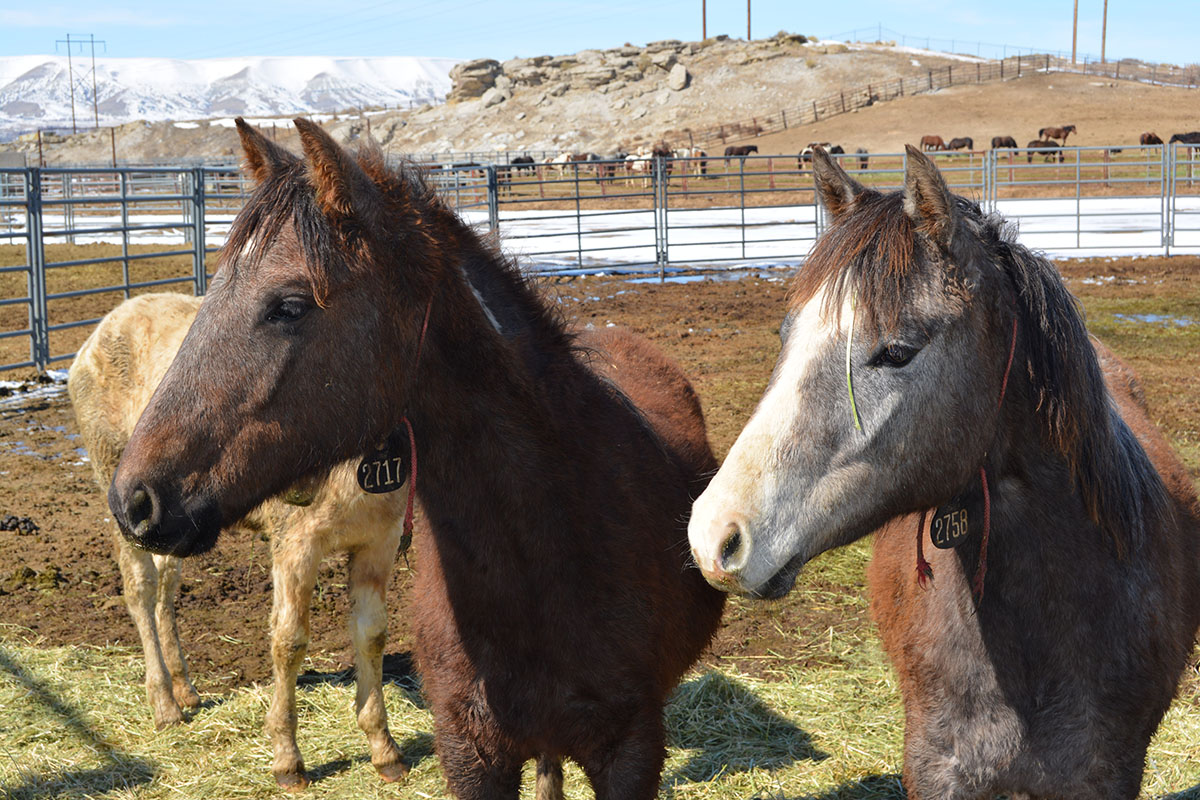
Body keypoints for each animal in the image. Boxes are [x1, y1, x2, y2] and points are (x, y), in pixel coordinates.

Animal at [68, 293, 416, 791]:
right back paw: (164, 706)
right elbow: (289, 642)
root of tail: (101, 330)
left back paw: (185, 689)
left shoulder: (378, 544)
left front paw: (385, 751)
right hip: (120, 497)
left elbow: (372, 636)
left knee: (166, 592)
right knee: (140, 591)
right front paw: (287, 760)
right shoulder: (295, 546)